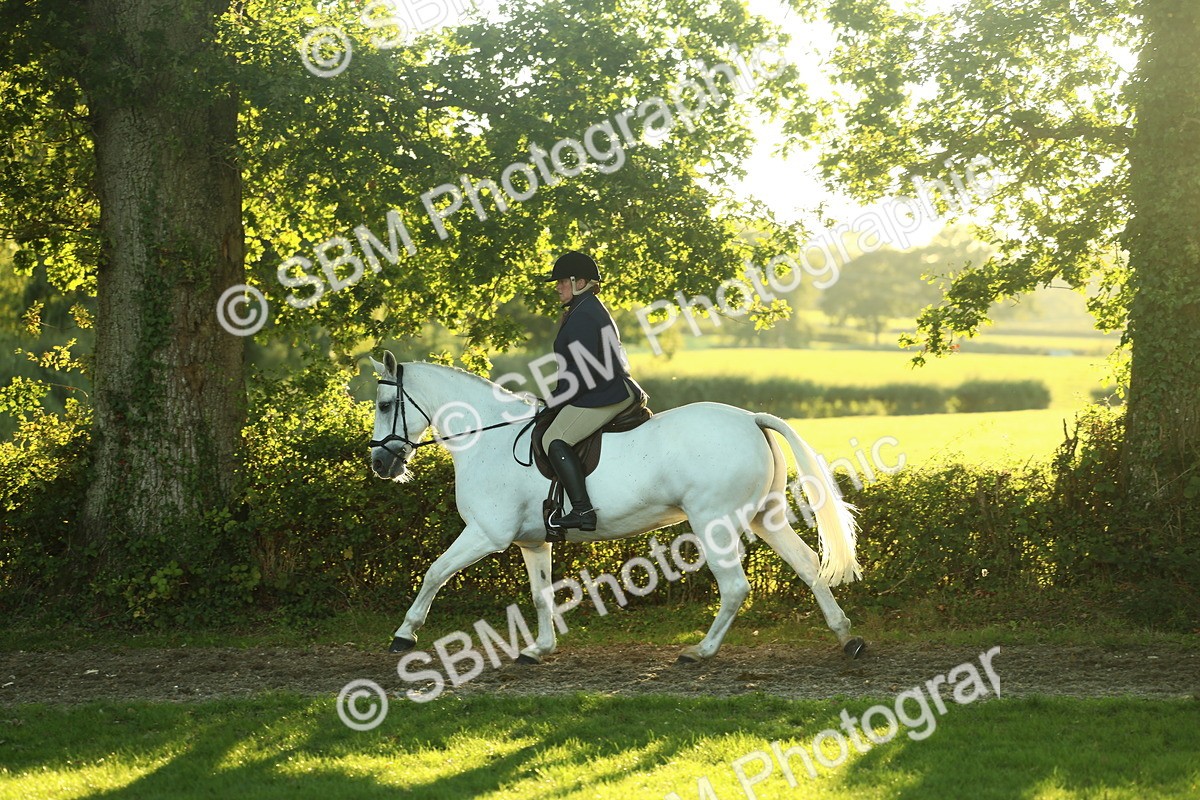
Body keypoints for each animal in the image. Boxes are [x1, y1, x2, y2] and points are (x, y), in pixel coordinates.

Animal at [367, 351, 866, 664]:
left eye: (387, 404)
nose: (380, 464)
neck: (488, 437)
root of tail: (749, 418)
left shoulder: (486, 534)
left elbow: (434, 572)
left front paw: (403, 635)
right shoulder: (532, 542)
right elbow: (540, 593)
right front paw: (539, 650)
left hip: (714, 522)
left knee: (735, 587)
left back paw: (699, 653)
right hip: (767, 516)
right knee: (807, 564)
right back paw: (846, 638)